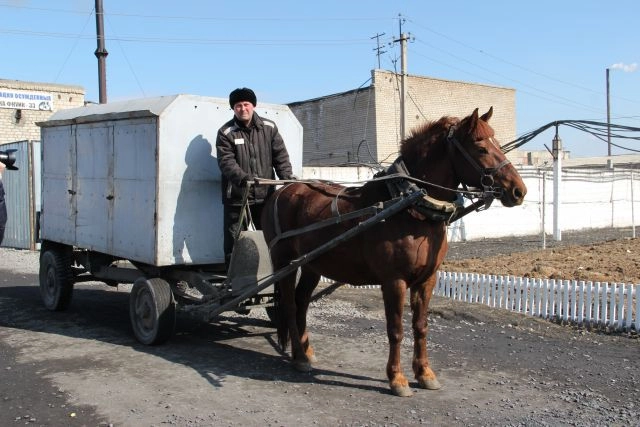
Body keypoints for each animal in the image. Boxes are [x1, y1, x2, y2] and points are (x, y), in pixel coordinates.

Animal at [258, 108, 524, 398]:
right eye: (481, 147)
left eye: (498, 144)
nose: (518, 190)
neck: (411, 207)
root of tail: (283, 190)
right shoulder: (394, 281)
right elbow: (396, 329)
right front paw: (397, 378)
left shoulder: (427, 280)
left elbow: (420, 326)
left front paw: (425, 373)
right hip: (284, 261)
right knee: (289, 304)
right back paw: (299, 357)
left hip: (312, 264)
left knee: (302, 302)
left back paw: (306, 351)